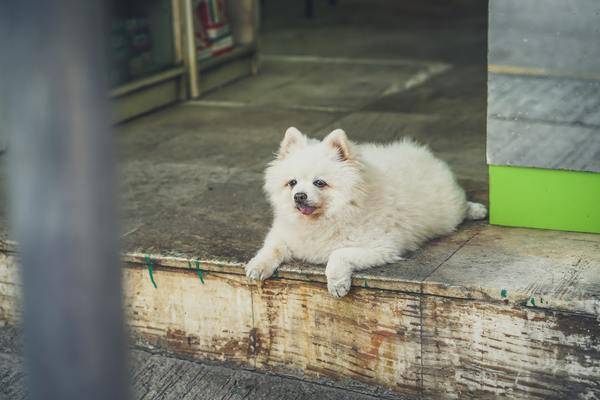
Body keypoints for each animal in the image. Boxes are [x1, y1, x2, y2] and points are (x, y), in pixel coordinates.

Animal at [246, 127, 486, 296]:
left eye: (319, 183)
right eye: (292, 183)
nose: (299, 196)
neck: (326, 219)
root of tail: (421, 152)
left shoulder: (381, 247)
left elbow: (338, 253)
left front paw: (337, 283)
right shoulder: (283, 234)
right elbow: (271, 248)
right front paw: (257, 266)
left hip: (448, 212)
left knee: (461, 207)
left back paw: (477, 210)